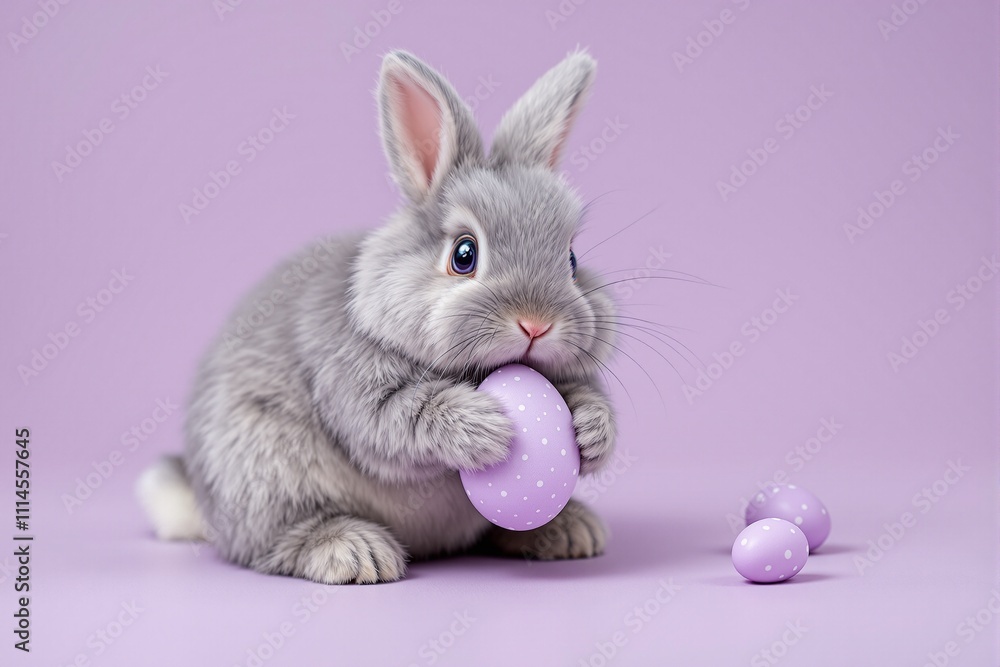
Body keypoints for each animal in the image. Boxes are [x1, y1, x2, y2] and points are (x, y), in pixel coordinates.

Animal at [136, 49, 618, 584]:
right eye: (464, 254)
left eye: (571, 259)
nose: (537, 323)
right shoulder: (357, 387)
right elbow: (404, 418)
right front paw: (487, 426)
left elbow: (590, 399)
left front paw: (591, 428)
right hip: (265, 471)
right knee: (278, 539)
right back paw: (353, 551)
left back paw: (569, 531)